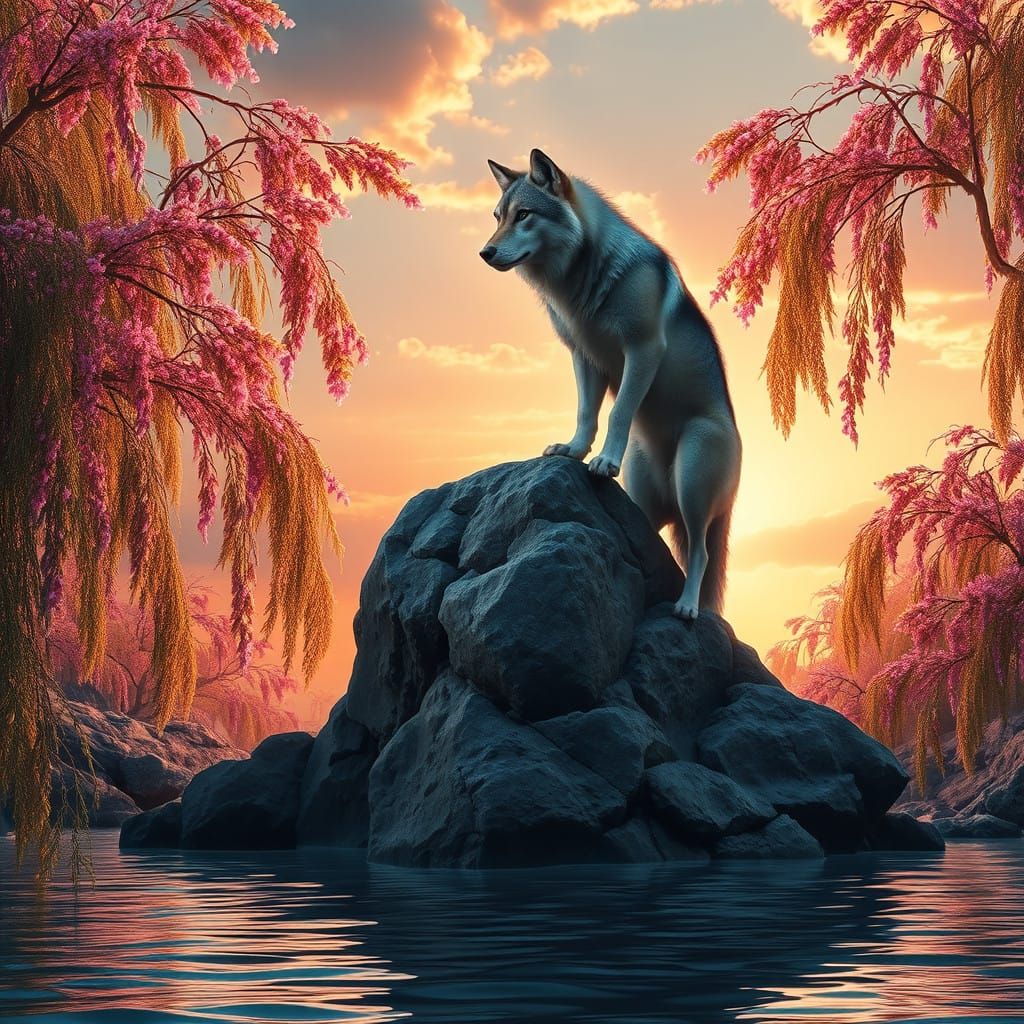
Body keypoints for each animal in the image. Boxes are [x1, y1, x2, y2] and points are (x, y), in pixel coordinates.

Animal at [480, 149, 741, 620]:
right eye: (498, 217)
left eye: (524, 215)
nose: (485, 252)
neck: (583, 277)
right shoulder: (584, 358)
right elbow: (587, 412)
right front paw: (574, 451)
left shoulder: (642, 350)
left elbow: (618, 412)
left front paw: (604, 461)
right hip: (646, 500)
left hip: (692, 482)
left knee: (700, 552)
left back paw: (687, 606)